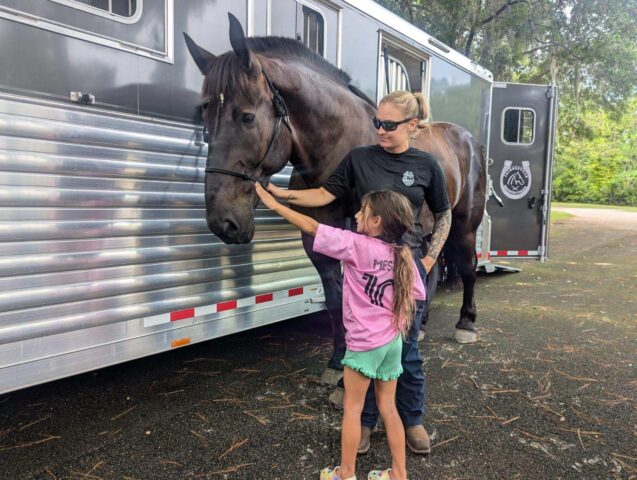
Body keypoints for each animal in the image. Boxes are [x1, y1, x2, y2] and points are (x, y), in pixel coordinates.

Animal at [184, 12, 486, 372]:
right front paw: (337, 359)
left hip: (465, 221)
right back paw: (421, 324)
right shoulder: (318, 232)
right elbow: (334, 295)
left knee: (467, 266)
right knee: (429, 269)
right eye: (205, 118)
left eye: (247, 117)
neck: (337, 146)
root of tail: (465, 138)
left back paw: (465, 323)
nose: (223, 222)